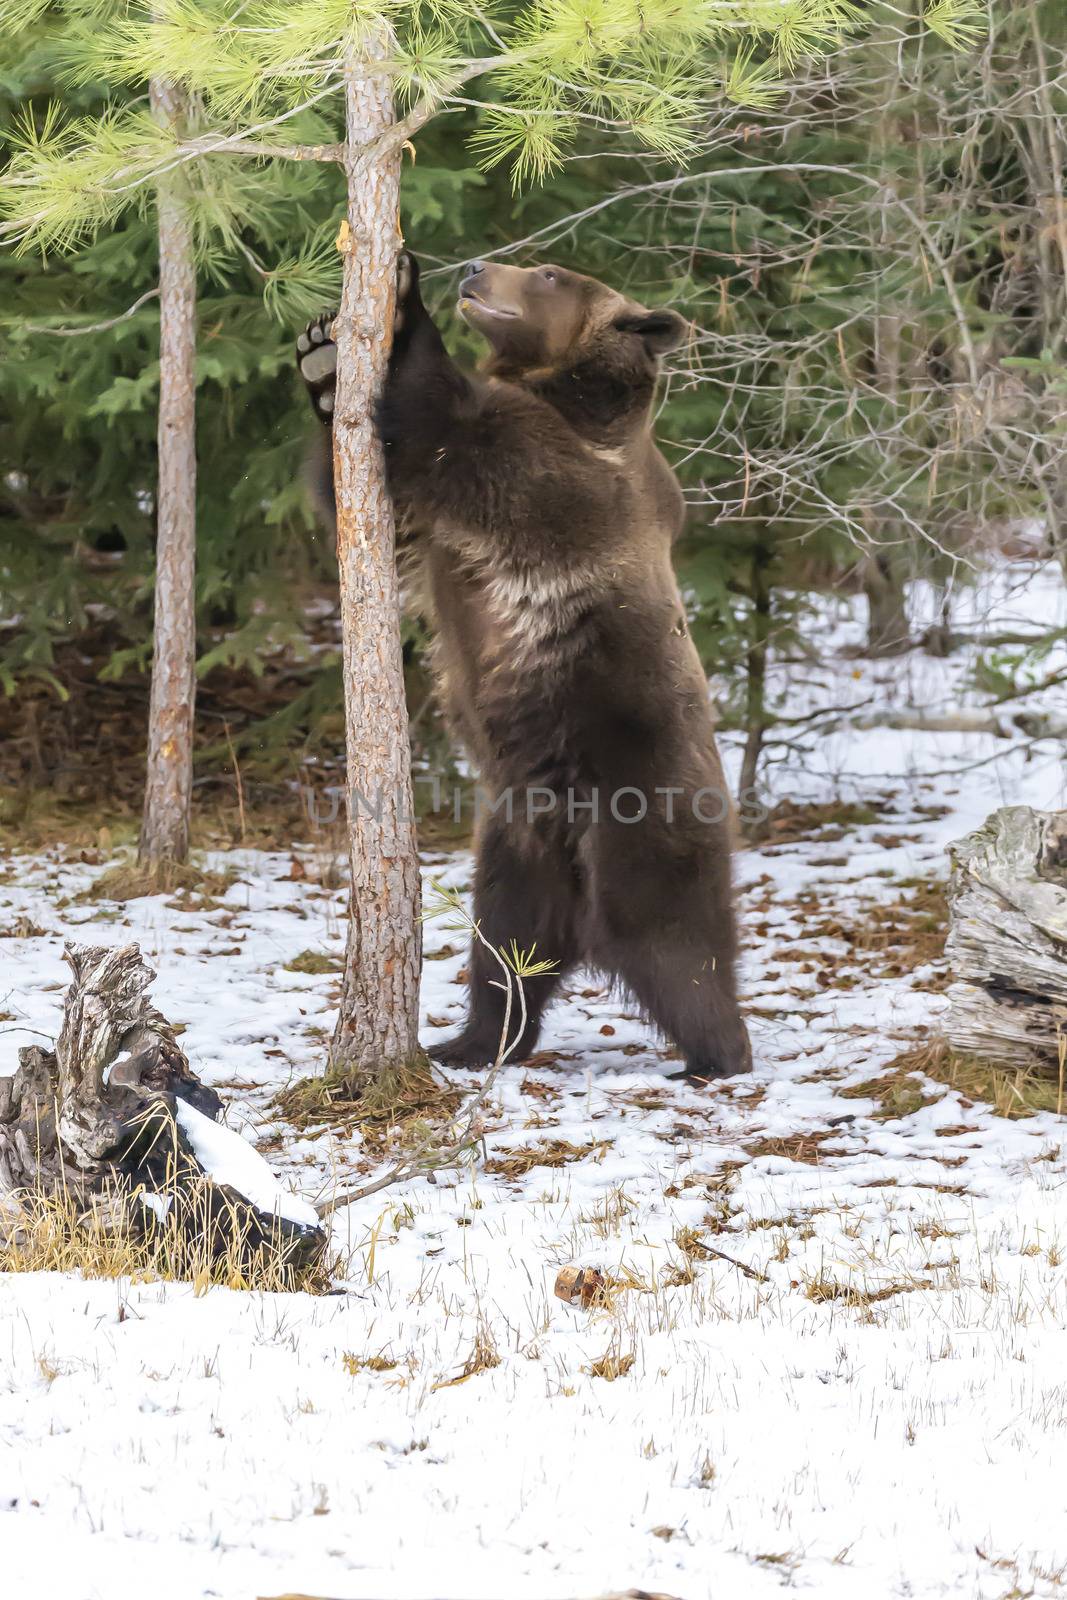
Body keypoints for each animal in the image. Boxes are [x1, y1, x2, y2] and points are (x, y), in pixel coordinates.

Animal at [295, 249, 755, 1081]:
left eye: (547, 273)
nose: (477, 267)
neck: (566, 394)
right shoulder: (441, 530)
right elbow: (376, 503)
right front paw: (321, 358)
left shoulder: (566, 479)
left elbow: (446, 430)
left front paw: (405, 295)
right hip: (518, 840)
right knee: (506, 948)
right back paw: (473, 1041)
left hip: (636, 793)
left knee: (669, 937)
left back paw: (714, 1053)